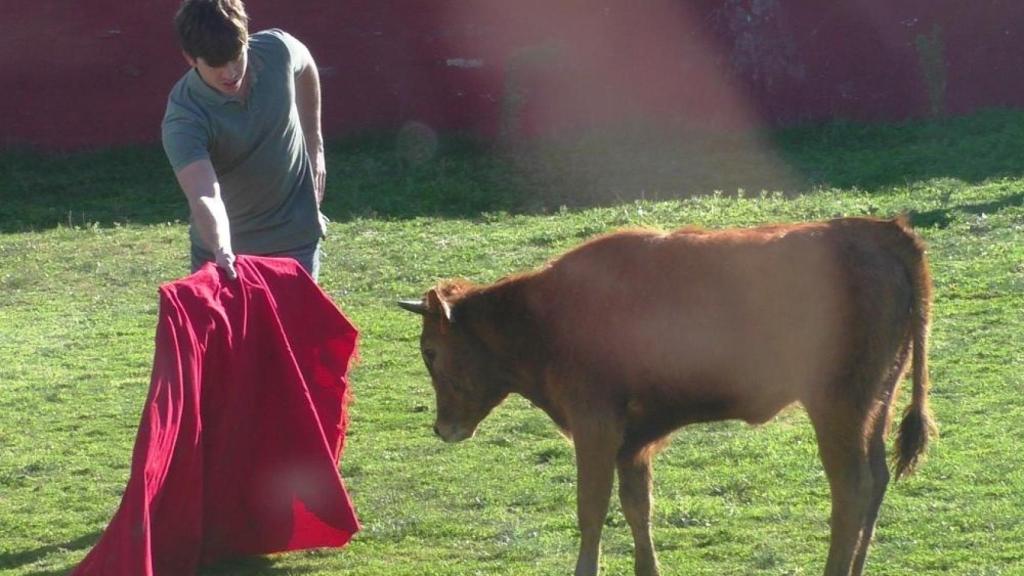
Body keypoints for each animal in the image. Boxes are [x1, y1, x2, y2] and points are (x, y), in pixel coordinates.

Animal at [397, 216, 937, 573]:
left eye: (430, 351)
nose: (442, 428)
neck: (544, 314)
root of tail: (879, 231)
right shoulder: (632, 441)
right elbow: (638, 508)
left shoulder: (595, 426)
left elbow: (591, 508)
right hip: (877, 402)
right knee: (876, 479)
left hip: (837, 407)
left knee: (851, 488)